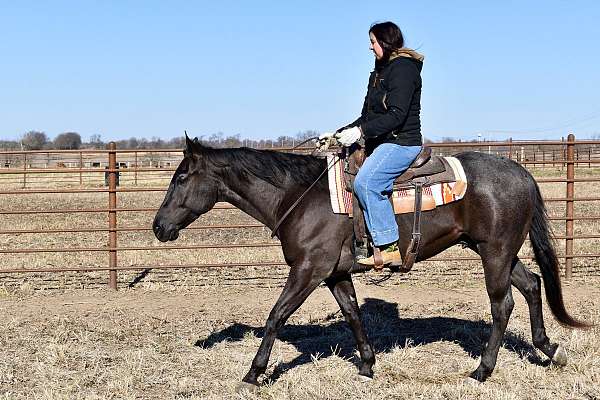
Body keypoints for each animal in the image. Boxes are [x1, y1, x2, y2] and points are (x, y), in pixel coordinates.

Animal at [152, 136, 588, 390]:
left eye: (181, 177)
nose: (158, 227)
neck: (300, 196)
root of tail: (521, 172)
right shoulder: (335, 274)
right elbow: (353, 314)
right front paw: (366, 365)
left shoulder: (307, 271)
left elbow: (276, 316)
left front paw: (253, 373)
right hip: (498, 251)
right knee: (532, 286)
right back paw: (550, 350)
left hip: (495, 252)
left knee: (502, 305)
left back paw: (482, 370)